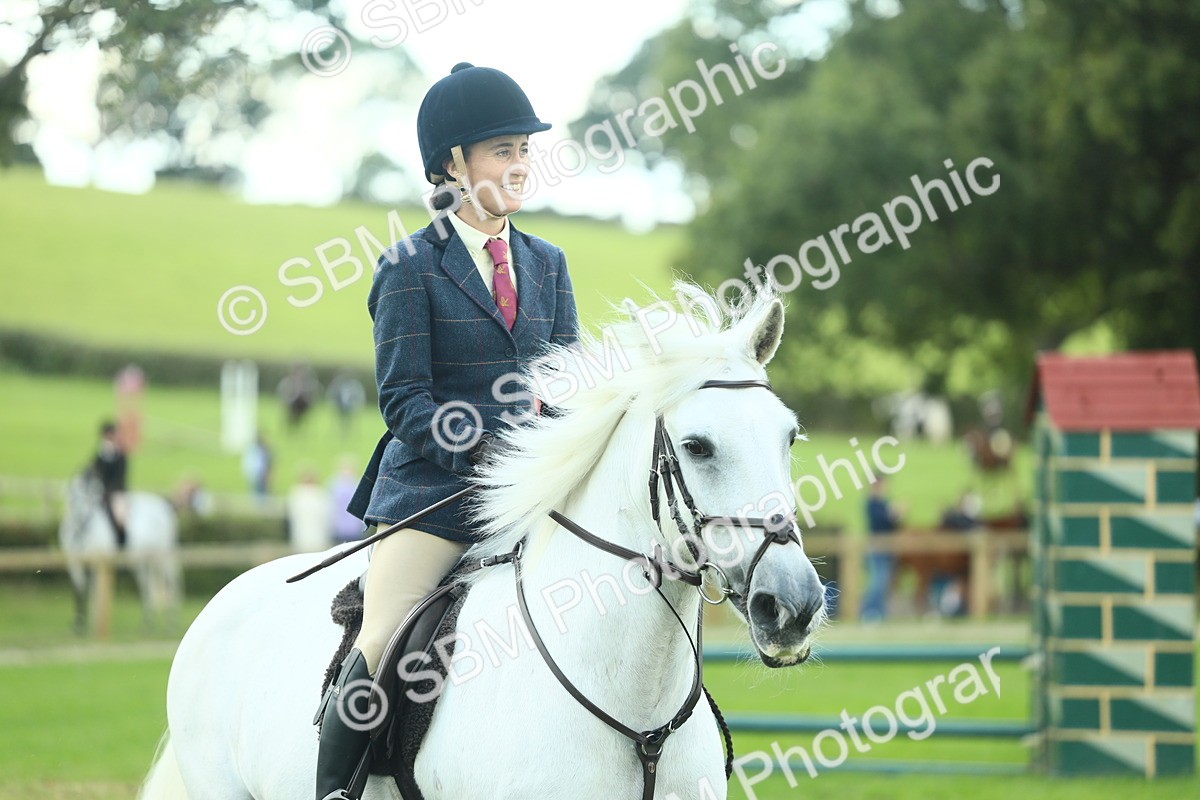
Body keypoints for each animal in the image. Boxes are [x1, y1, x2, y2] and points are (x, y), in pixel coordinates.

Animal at [59, 469, 182, 633]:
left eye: (88, 499)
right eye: (73, 498)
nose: (81, 519)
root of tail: (164, 505)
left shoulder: (98, 562)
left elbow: (95, 591)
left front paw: (89, 623)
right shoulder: (75, 563)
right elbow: (80, 590)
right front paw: (80, 624)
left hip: (161, 556)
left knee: (170, 584)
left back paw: (171, 623)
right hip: (141, 561)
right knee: (146, 586)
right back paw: (147, 623)